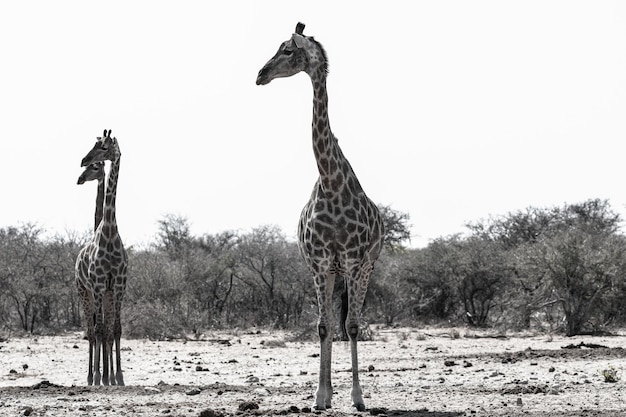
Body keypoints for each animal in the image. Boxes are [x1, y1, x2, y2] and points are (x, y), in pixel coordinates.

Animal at [256, 22, 382, 410]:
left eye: (286, 50)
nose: (260, 75)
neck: (331, 180)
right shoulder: (320, 262)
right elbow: (323, 327)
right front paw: (320, 396)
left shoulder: (354, 262)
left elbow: (351, 327)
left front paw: (357, 397)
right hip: (329, 272)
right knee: (328, 325)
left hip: (364, 268)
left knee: (350, 323)